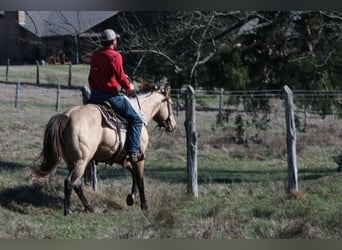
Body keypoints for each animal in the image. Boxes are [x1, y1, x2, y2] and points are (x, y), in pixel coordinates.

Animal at [32, 84, 176, 215]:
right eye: (172, 104)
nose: (173, 126)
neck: (140, 113)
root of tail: (67, 116)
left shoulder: (124, 158)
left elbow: (133, 174)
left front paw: (131, 197)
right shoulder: (139, 157)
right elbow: (140, 180)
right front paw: (144, 206)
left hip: (70, 161)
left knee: (76, 184)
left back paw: (89, 207)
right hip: (81, 161)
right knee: (69, 182)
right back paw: (67, 211)